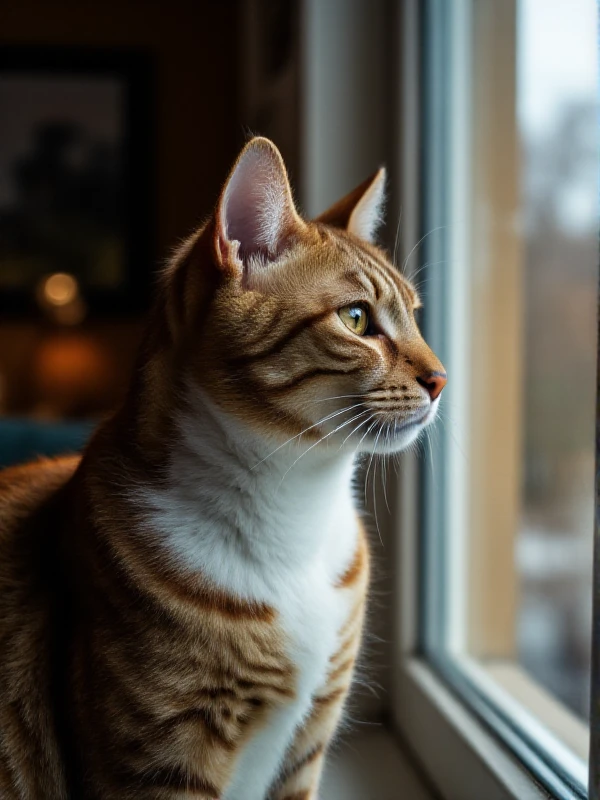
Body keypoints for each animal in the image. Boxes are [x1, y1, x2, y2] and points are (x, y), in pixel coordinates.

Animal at [0, 139, 446, 800]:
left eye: (415, 316)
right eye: (357, 319)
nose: (442, 379)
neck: (296, 513)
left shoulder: (307, 742)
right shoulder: (162, 761)